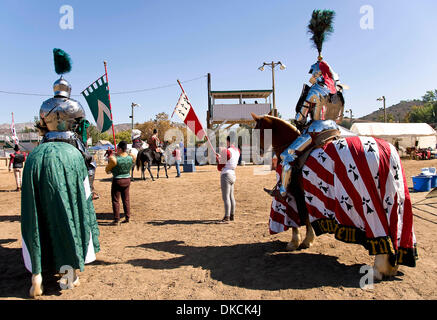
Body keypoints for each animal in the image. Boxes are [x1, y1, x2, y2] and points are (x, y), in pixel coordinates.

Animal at [250, 113, 418, 280]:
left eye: (257, 130)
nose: (257, 155)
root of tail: (385, 149)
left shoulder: (294, 192)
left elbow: (298, 219)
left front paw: (295, 242)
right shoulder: (305, 193)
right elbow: (308, 217)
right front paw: (307, 240)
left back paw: (377, 269)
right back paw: (391, 267)